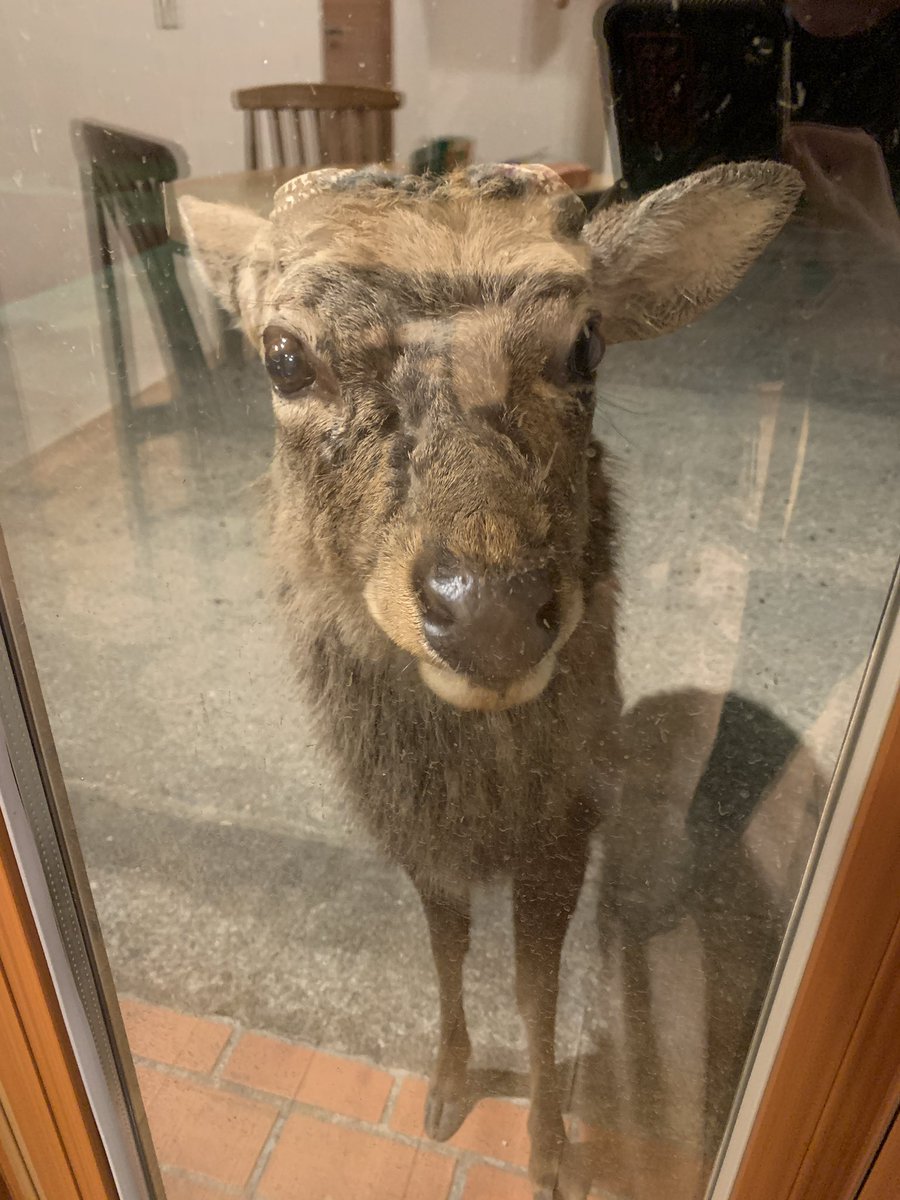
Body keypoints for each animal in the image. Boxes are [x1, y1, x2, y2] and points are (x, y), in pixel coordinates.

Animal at [180, 162, 801, 1200]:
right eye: (283, 356)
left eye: (585, 340)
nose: (489, 611)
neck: (480, 813)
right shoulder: (417, 837)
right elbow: (447, 948)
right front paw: (446, 1088)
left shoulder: (561, 831)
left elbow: (533, 983)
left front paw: (550, 1149)